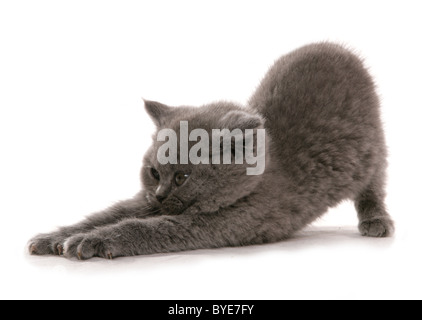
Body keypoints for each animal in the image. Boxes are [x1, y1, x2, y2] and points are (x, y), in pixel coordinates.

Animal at [28, 42, 392, 260]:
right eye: (155, 172)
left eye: (183, 177)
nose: (160, 195)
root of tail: (339, 49)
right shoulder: (145, 202)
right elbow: (107, 214)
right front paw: (53, 237)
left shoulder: (220, 223)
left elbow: (145, 228)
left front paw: (90, 241)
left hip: (374, 152)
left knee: (373, 188)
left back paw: (376, 220)